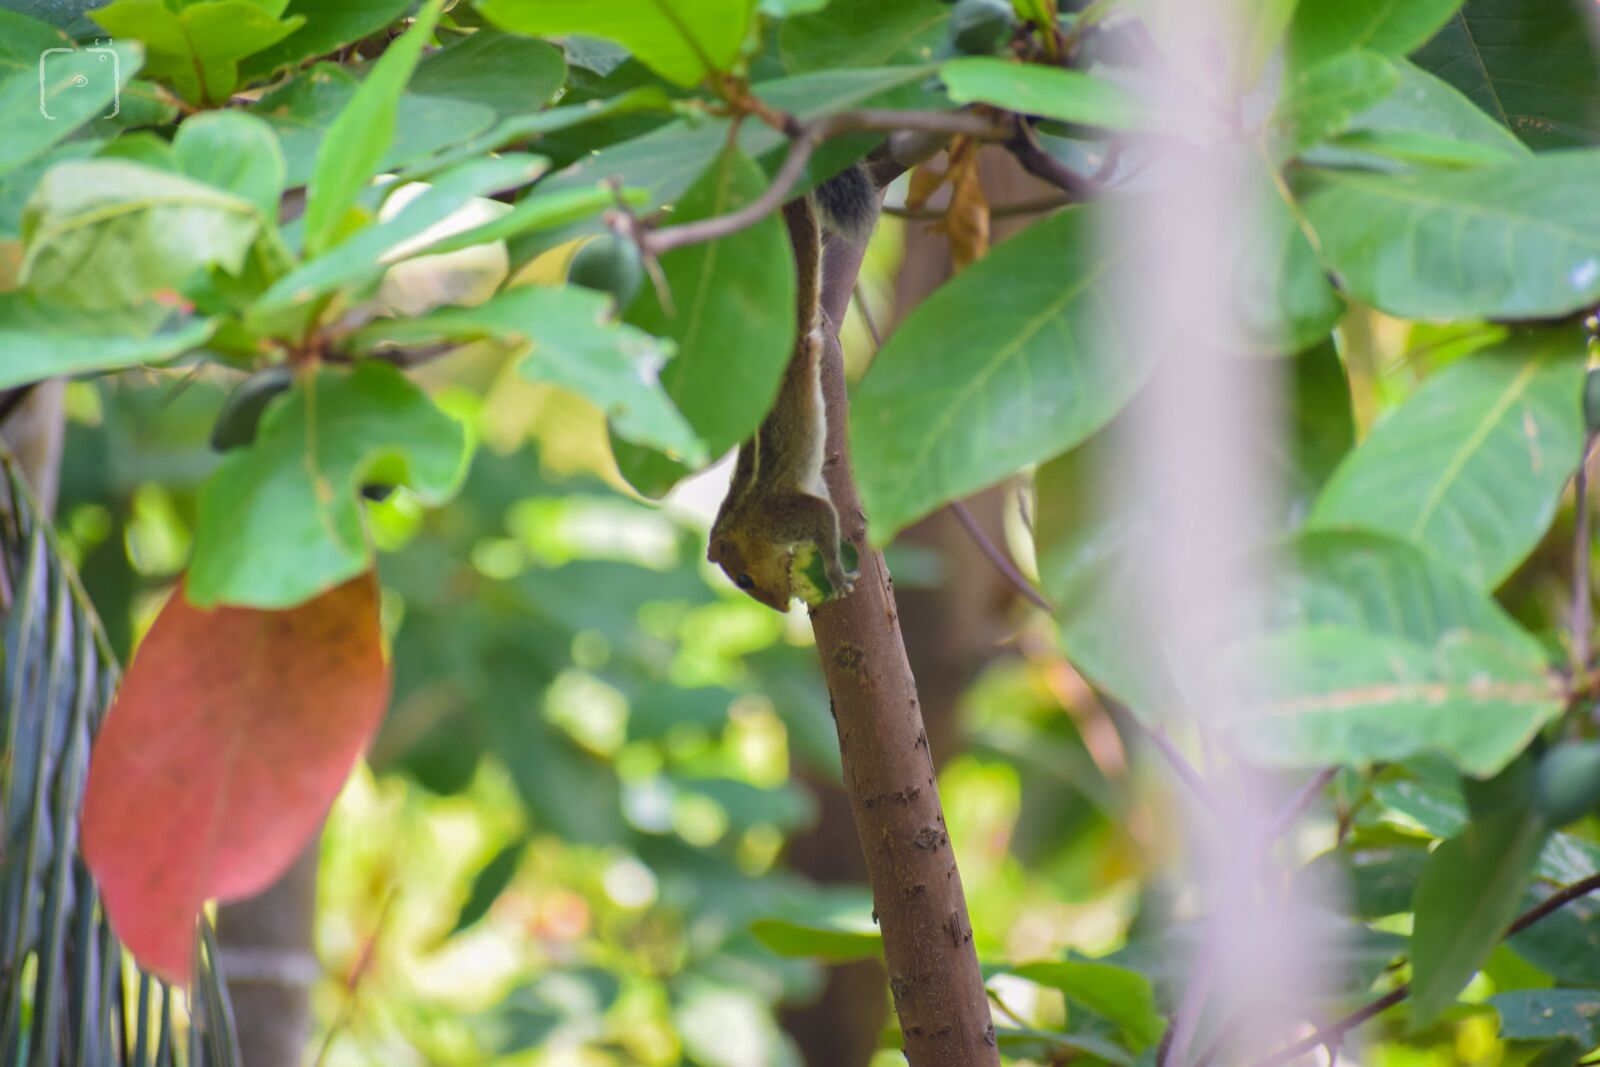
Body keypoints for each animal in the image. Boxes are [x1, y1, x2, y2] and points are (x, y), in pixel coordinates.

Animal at [707, 166, 878, 611]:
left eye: (744, 579)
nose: (782, 608)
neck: (744, 524)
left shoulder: (783, 516)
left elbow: (823, 516)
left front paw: (834, 572)